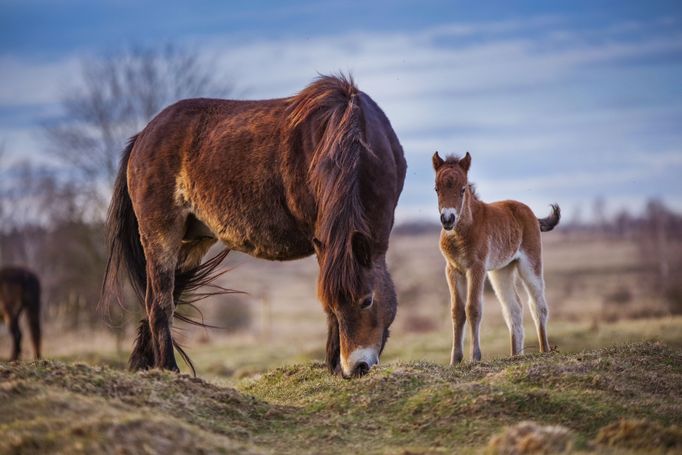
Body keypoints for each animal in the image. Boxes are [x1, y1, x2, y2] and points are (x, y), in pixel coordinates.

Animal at [101, 76, 404, 380]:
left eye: (367, 300)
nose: (356, 367)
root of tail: (143, 136)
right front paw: (333, 367)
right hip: (161, 234)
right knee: (159, 301)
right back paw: (169, 369)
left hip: (192, 242)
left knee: (170, 295)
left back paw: (144, 365)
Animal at [430, 152, 556, 364]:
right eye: (436, 188)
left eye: (463, 189)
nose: (447, 219)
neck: (462, 231)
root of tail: (530, 212)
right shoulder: (453, 270)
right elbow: (457, 311)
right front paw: (455, 360)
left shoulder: (476, 268)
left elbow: (473, 308)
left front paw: (475, 357)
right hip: (501, 271)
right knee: (513, 309)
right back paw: (515, 355)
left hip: (530, 264)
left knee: (538, 305)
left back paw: (544, 350)